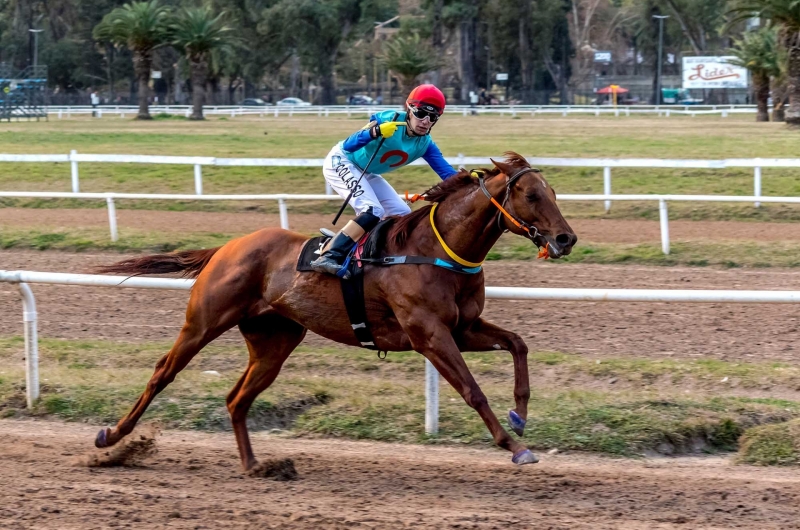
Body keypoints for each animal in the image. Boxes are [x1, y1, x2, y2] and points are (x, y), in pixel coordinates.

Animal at [94, 151, 576, 468]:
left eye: (553, 191)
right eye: (531, 195)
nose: (566, 238)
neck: (436, 251)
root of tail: (227, 247)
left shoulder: (463, 327)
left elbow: (518, 344)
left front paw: (520, 414)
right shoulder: (430, 334)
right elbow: (473, 390)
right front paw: (515, 447)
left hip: (275, 341)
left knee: (237, 399)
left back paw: (255, 465)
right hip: (203, 322)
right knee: (163, 373)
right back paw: (111, 436)